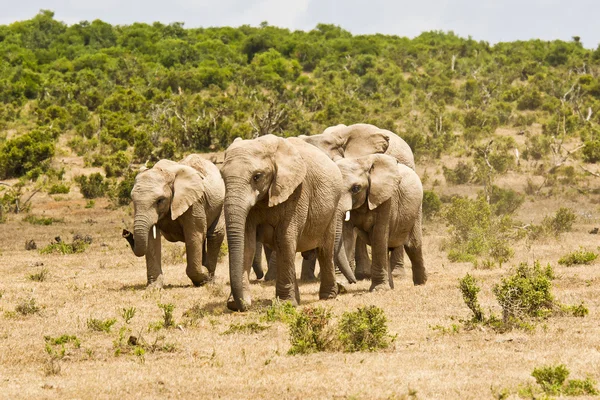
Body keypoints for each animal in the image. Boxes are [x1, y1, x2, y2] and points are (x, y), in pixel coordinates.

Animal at [123, 155, 226, 290]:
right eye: (133, 199)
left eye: (160, 200)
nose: (126, 233)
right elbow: (151, 240)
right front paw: (153, 288)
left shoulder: (195, 202)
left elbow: (194, 236)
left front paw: (204, 277)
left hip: (221, 203)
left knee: (215, 235)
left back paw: (210, 280)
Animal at [220, 134, 354, 312]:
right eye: (222, 176)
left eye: (257, 176)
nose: (242, 307)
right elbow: (246, 243)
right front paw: (235, 304)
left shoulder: (297, 192)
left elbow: (285, 239)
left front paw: (285, 304)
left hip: (332, 209)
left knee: (325, 250)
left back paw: (328, 296)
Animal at [338, 153, 426, 290]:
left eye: (356, 188)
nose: (353, 281)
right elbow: (346, 235)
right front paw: (341, 286)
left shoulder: (386, 199)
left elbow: (379, 234)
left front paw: (378, 289)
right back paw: (391, 286)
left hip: (417, 210)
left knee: (413, 246)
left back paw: (420, 283)